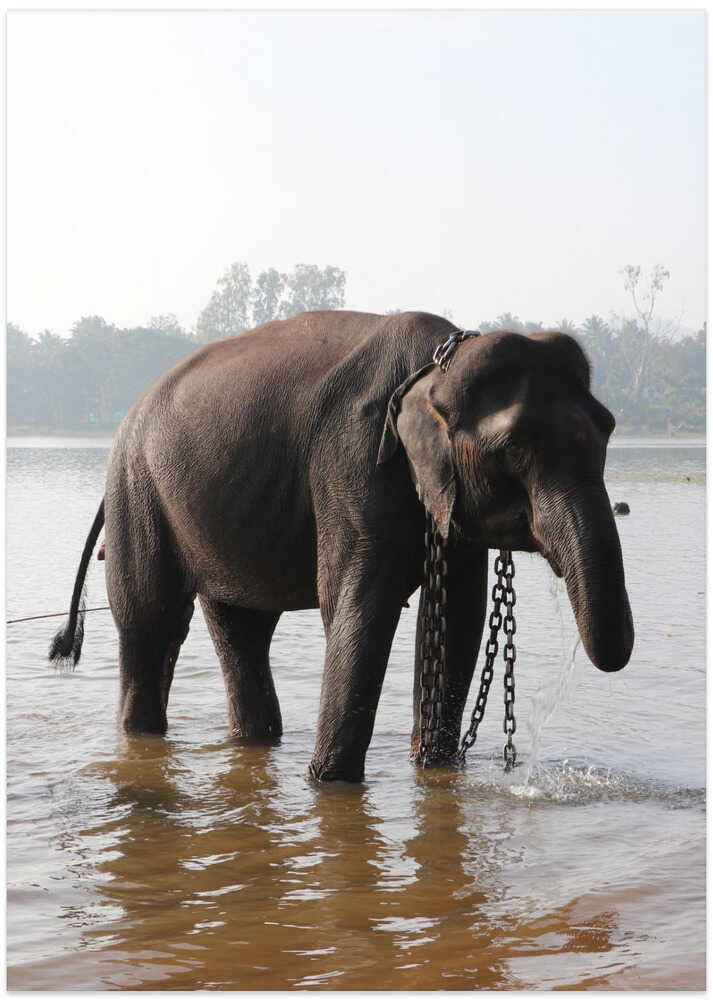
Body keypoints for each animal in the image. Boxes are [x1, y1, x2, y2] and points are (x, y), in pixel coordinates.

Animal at [50, 310, 633, 781]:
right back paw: (143, 736)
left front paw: (435, 769)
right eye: (513, 448)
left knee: (241, 629)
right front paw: (329, 783)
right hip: (137, 490)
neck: (438, 363)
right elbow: (360, 606)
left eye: (609, 429)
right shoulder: (351, 458)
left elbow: (457, 617)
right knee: (152, 622)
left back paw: (255, 739)